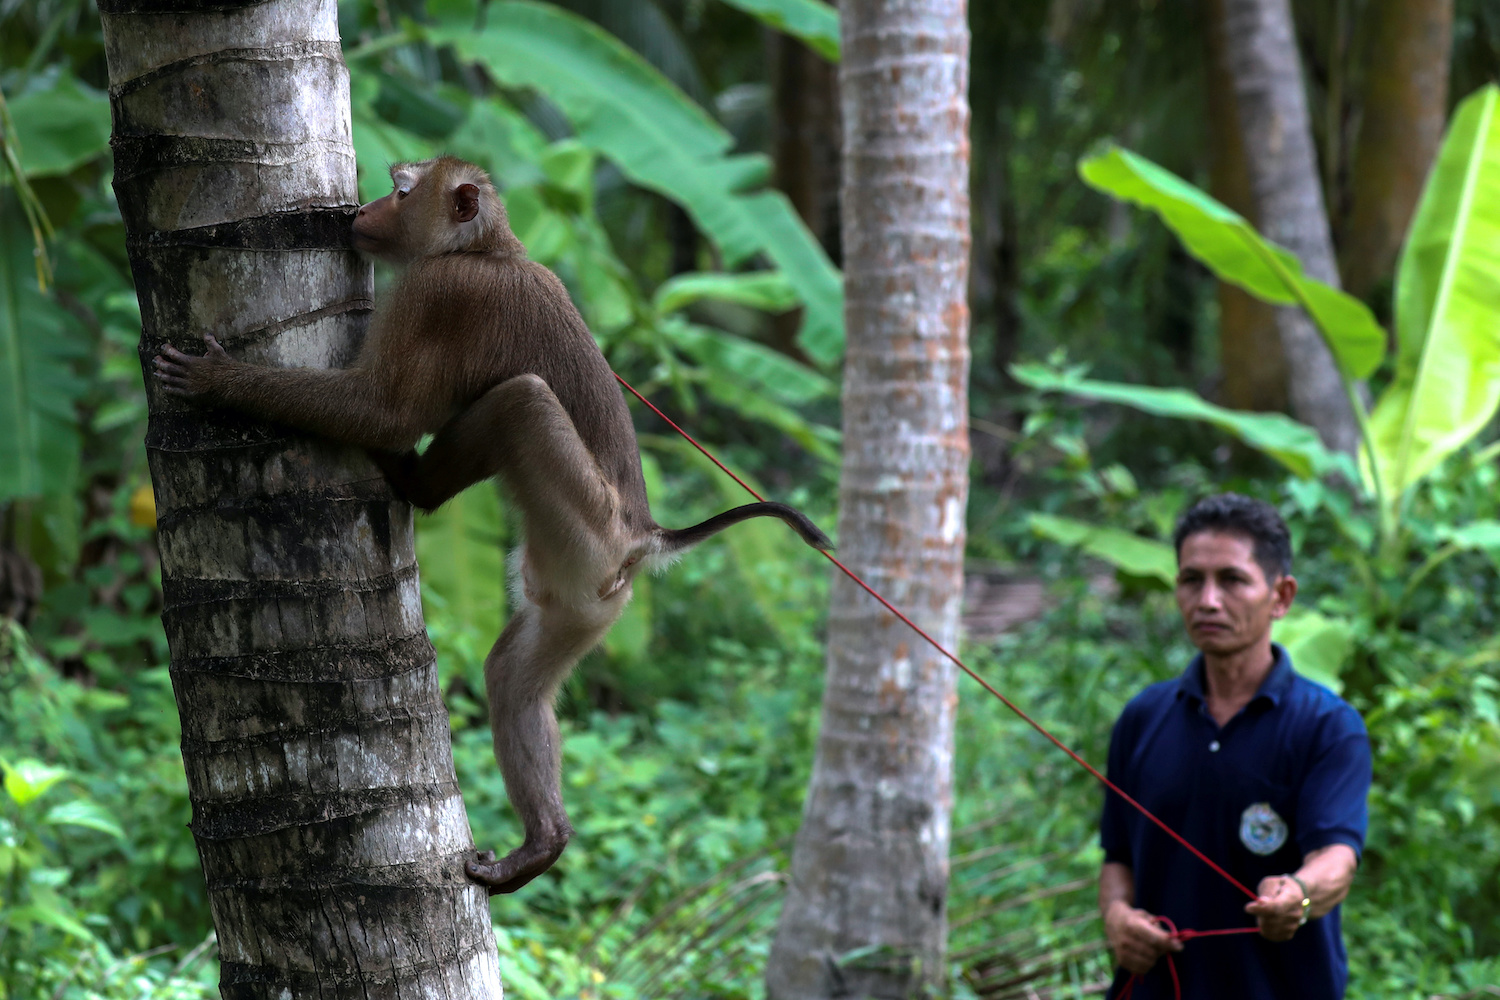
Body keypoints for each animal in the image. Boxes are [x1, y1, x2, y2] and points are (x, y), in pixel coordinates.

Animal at [152, 158, 834, 899]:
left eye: (400, 190)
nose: (361, 210)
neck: (488, 250)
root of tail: (642, 534)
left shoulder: (438, 292)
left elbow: (385, 410)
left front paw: (220, 380)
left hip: (582, 526)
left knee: (521, 401)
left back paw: (414, 485)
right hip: (591, 598)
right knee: (516, 679)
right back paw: (546, 841)